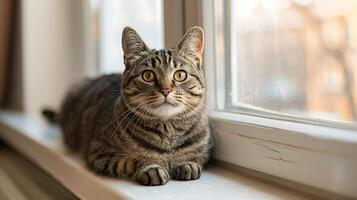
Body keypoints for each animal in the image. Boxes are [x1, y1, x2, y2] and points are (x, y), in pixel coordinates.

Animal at [59, 26, 210, 186]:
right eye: (148, 75)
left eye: (180, 75)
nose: (165, 90)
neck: (167, 134)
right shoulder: (98, 152)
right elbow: (129, 161)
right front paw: (151, 167)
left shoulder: (204, 151)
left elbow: (197, 157)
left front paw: (188, 164)